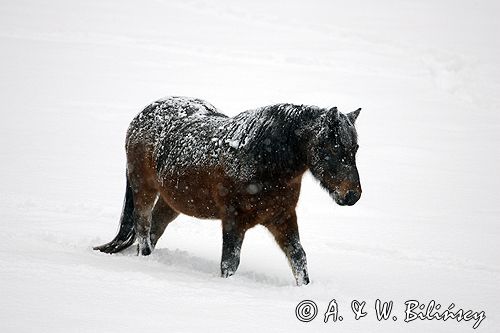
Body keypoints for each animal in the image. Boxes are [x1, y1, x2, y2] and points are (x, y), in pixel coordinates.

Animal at [94, 94, 362, 284]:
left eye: (355, 148)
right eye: (333, 148)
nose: (353, 195)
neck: (262, 160)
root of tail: (143, 113)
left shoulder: (282, 217)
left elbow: (299, 258)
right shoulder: (233, 221)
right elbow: (230, 263)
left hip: (172, 201)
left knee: (154, 229)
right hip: (144, 189)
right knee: (142, 227)